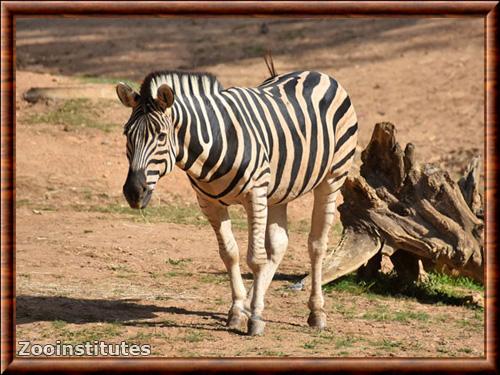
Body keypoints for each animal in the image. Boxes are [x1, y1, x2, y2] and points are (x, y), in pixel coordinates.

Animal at [116, 68, 360, 338]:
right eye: (127, 134)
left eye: (160, 136)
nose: (133, 192)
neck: (214, 142)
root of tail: (317, 73)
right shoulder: (209, 203)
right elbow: (230, 254)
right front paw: (237, 310)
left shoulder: (255, 195)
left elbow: (255, 258)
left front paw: (255, 318)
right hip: (278, 191)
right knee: (279, 244)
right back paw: (253, 301)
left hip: (332, 178)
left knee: (316, 245)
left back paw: (316, 312)